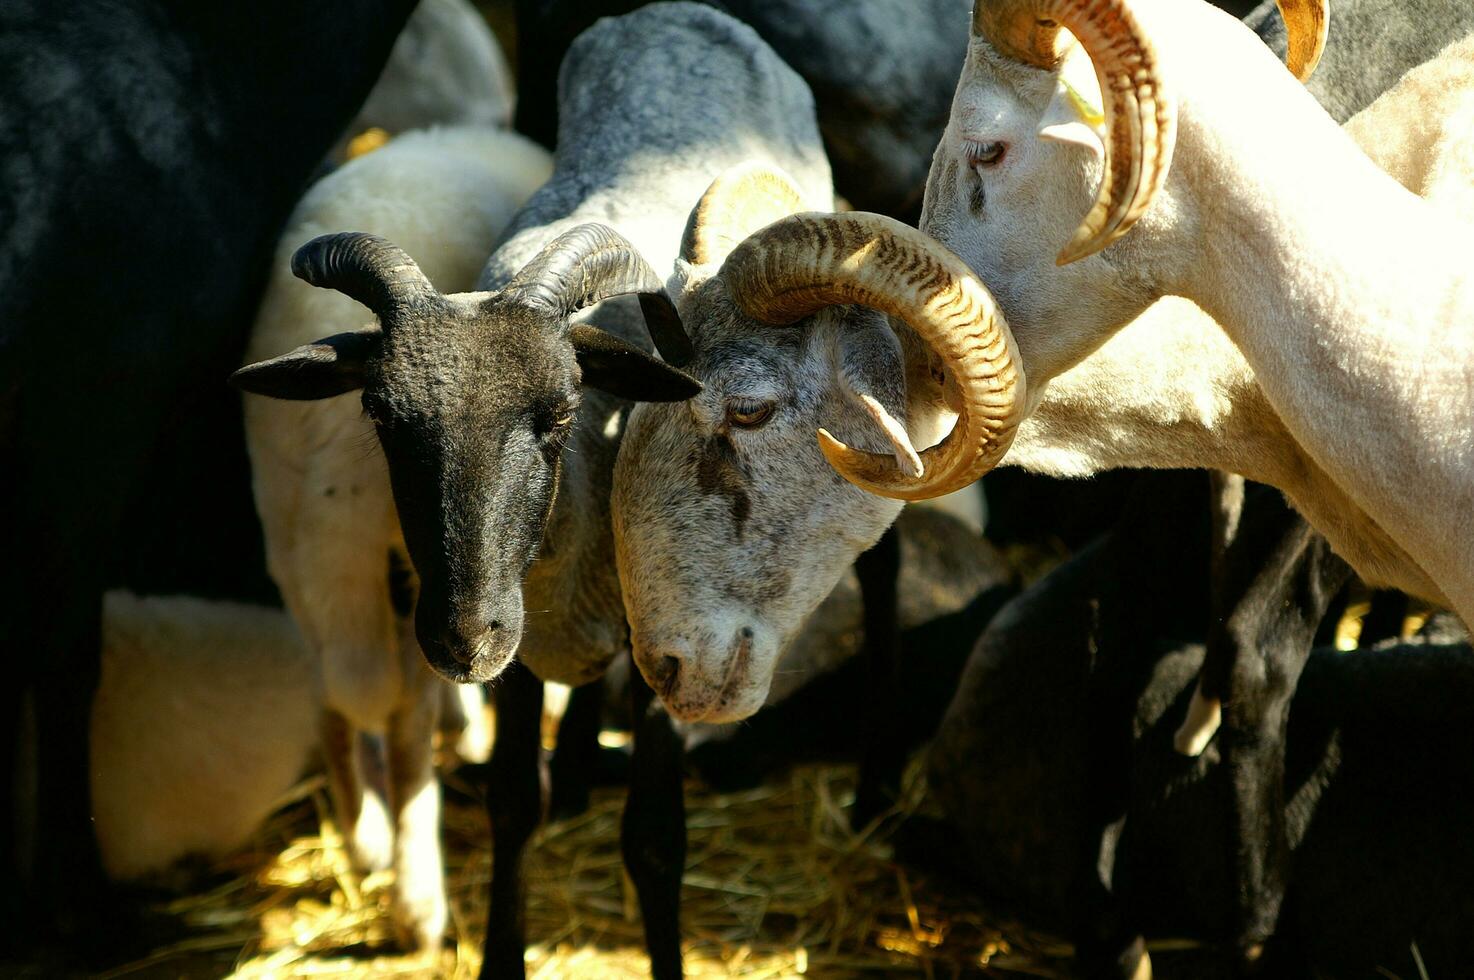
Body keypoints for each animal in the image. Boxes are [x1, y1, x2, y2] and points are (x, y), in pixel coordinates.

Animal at [241, 124, 554, 949]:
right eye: (379, 413)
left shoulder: (417, 579)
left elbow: (403, 722)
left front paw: (415, 901)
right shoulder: (290, 552)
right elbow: (332, 701)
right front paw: (363, 836)